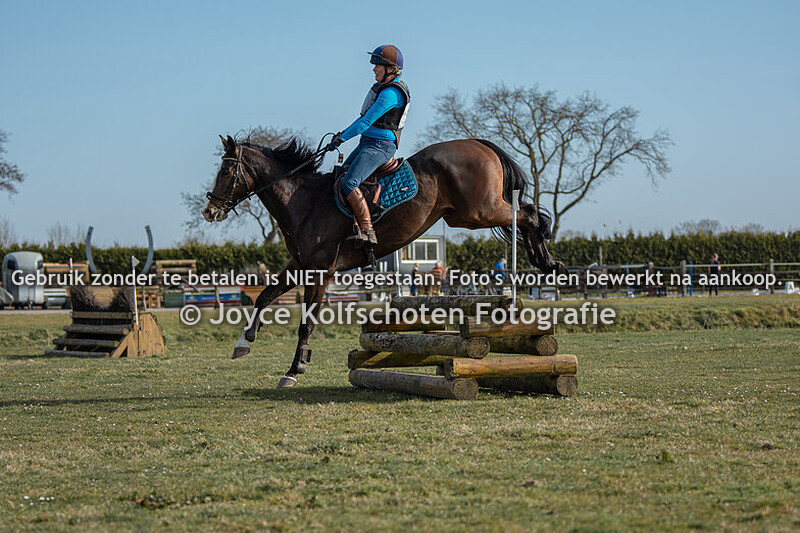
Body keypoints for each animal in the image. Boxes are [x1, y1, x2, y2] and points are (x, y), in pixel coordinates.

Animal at [203, 134, 563, 388]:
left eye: (226, 170)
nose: (209, 210)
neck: (304, 201)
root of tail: (478, 143)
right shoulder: (300, 266)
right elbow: (264, 296)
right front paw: (243, 343)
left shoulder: (320, 270)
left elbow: (306, 322)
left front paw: (295, 369)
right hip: (464, 215)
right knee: (525, 213)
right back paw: (543, 260)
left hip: (479, 211)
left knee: (529, 214)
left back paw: (546, 262)